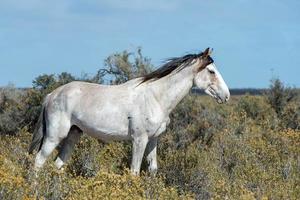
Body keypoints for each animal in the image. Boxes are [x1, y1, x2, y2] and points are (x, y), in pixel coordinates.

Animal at [28, 47, 230, 174]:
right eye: (211, 71)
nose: (226, 96)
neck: (155, 97)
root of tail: (51, 95)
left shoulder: (153, 139)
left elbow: (152, 170)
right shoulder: (139, 140)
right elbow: (134, 171)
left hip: (73, 135)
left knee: (57, 165)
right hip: (54, 136)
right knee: (38, 162)